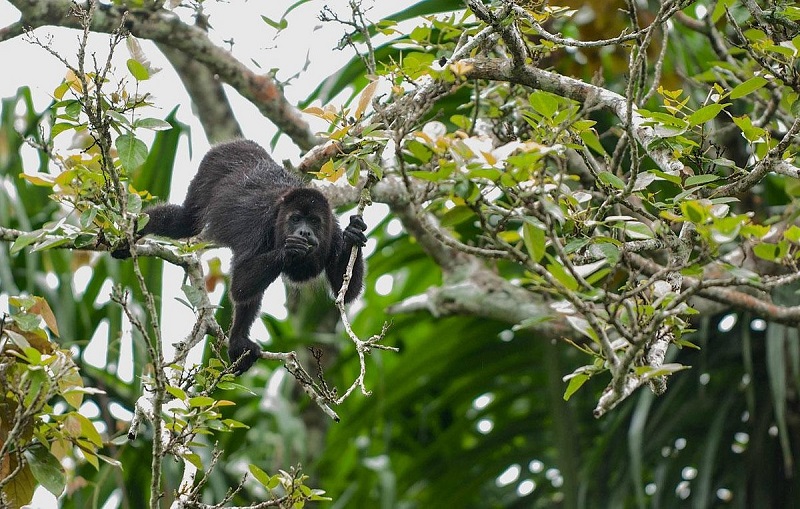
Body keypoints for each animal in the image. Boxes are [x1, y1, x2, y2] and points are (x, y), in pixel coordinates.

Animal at [117, 139, 368, 374]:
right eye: (296, 219)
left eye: (314, 221)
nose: (304, 232)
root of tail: (240, 143)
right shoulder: (260, 228)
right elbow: (240, 284)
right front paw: (289, 249)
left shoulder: (332, 233)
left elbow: (345, 294)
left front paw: (353, 234)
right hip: (210, 168)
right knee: (184, 221)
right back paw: (128, 234)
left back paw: (238, 342)